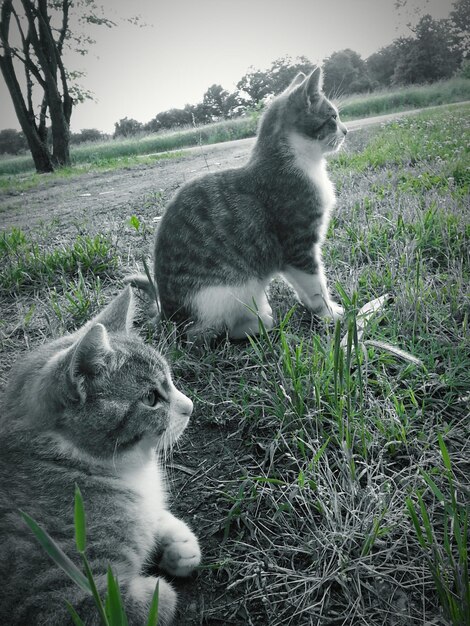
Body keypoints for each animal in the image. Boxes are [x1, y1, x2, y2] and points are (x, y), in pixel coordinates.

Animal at [0, 286, 200, 620]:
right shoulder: (65, 596)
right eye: (150, 398)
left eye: (171, 381)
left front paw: (177, 540)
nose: (190, 406)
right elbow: (152, 601)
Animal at [130, 66, 346, 338]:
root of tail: (168, 315)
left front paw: (315, 310)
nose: (346, 131)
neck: (302, 161)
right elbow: (316, 284)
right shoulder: (298, 245)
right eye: (333, 117)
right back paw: (256, 324)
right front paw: (330, 313)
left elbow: (303, 286)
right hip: (226, 293)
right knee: (202, 334)